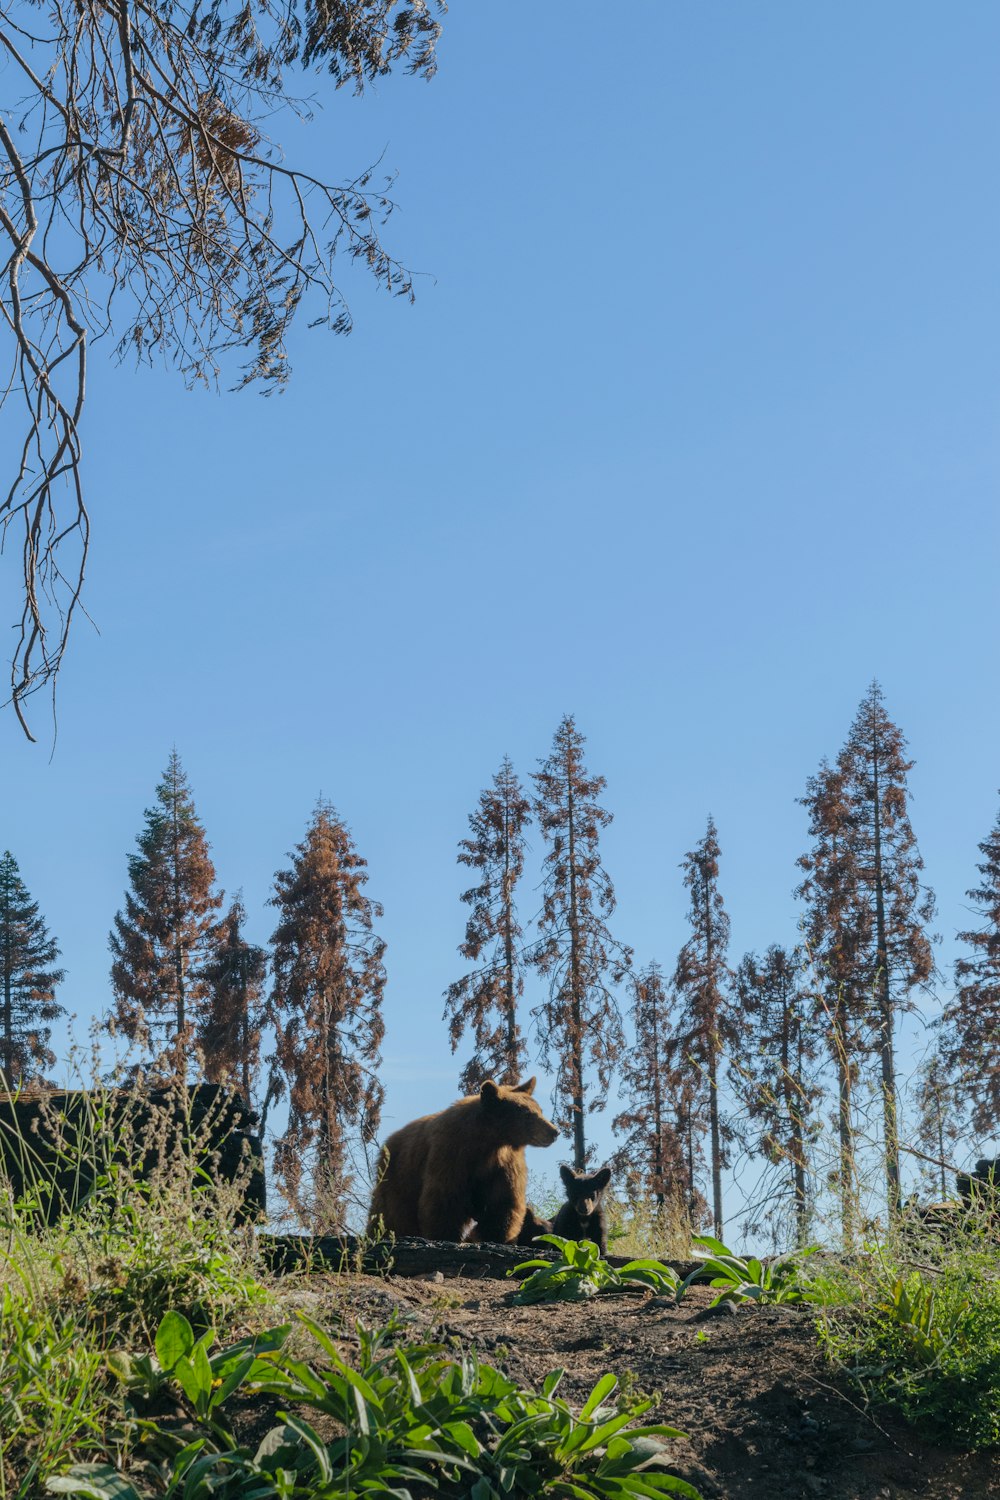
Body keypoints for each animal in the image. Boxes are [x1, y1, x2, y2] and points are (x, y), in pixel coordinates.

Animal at [367, 1080, 560, 1242]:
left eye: (540, 1110)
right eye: (527, 1114)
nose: (554, 1131)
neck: (489, 1143)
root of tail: (390, 1139)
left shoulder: (504, 1165)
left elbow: (503, 1201)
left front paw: (494, 1235)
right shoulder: (453, 1155)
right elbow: (445, 1197)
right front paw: (446, 1235)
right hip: (400, 1174)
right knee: (391, 1212)